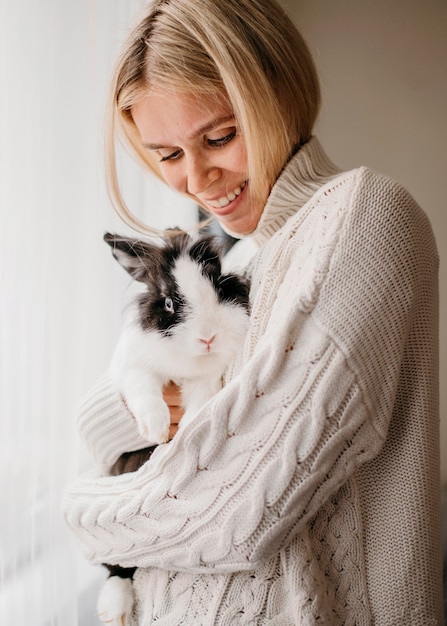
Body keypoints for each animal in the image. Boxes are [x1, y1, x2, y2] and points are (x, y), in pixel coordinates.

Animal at [96, 229, 250, 624]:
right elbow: (145, 391)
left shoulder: (206, 379)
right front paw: (155, 429)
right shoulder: (134, 368)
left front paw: (188, 435)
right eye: (168, 302)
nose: (208, 338)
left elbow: (200, 404)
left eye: (220, 285)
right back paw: (114, 609)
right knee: (116, 567)